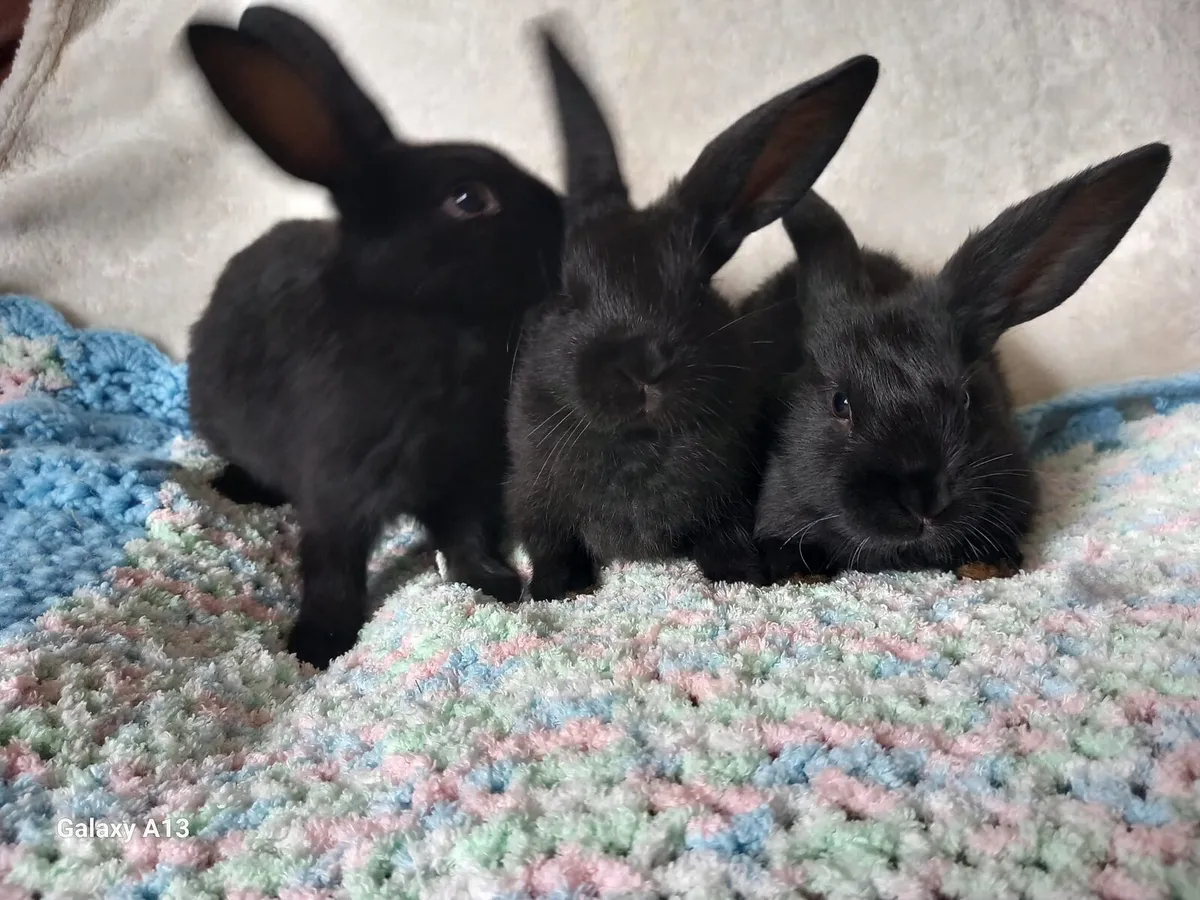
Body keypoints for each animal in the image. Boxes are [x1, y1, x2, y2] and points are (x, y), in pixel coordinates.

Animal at [184, 5, 564, 668]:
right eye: (469, 198)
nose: (566, 219)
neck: (433, 320)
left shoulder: (465, 476)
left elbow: (467, 535)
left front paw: (493, 584)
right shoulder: (337, 491)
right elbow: (332, 565)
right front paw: (319, 644)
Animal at [505, 20, 880, 601]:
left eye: (697, 288)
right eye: (565, 294)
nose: (642, 366)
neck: (638, 441)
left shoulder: (732, 502)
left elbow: (726, 543)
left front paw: (743, 576)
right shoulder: (532, 498)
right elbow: (552, 548)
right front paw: (550, 591)